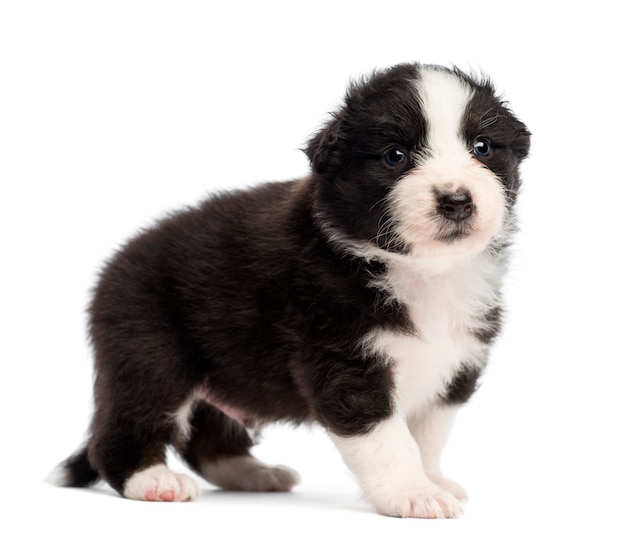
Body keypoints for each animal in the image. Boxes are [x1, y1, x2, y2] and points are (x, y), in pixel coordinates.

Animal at [50, 62, 528, 520]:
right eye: (396, 156)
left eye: (482, 147)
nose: (456, 201)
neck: (422, 273)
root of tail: (110, 270)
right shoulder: (344, 363)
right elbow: (388, 439)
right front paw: (413, 494)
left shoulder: (456, 365)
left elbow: (427, 435)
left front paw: (432, 480)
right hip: (150, 351)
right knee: (125, 428)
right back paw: (154, 481)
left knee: (206, 438)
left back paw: (252, 473)